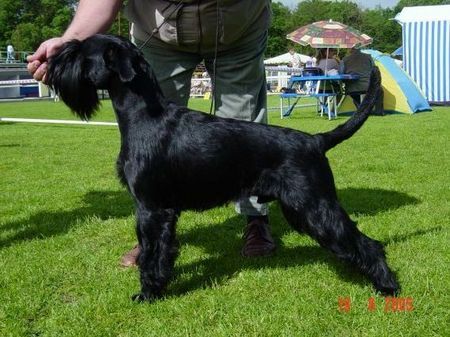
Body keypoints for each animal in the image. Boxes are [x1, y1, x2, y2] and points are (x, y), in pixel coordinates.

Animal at [47, 34, 400, 302]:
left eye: (78, 52)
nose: (52, 64)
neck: (145, 114)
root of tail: (316, 140)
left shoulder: (150, 209)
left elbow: (151, 253)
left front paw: (148, 293)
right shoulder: (164, 212)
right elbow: (163, 250)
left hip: (314, 205)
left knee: (365, 243)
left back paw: (387, 286)